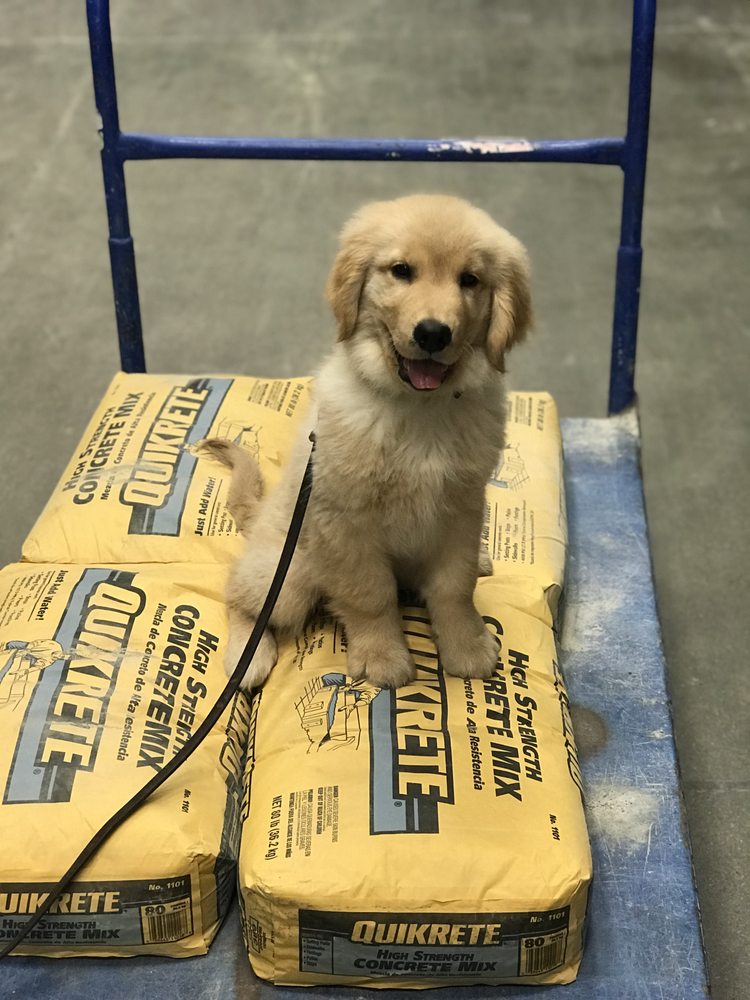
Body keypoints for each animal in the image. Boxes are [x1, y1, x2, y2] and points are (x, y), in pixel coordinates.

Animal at [203, 194, 532, 691]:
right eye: (401, 271)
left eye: (469, 280)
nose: (433, 333)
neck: (419, 409)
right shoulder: (346, 522)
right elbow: (370, 595)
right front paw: (382, 658)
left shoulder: (461, 508)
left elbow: (455, 588)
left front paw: (467, 646)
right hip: (290, 574)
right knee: (240, 596)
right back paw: (249, 654)